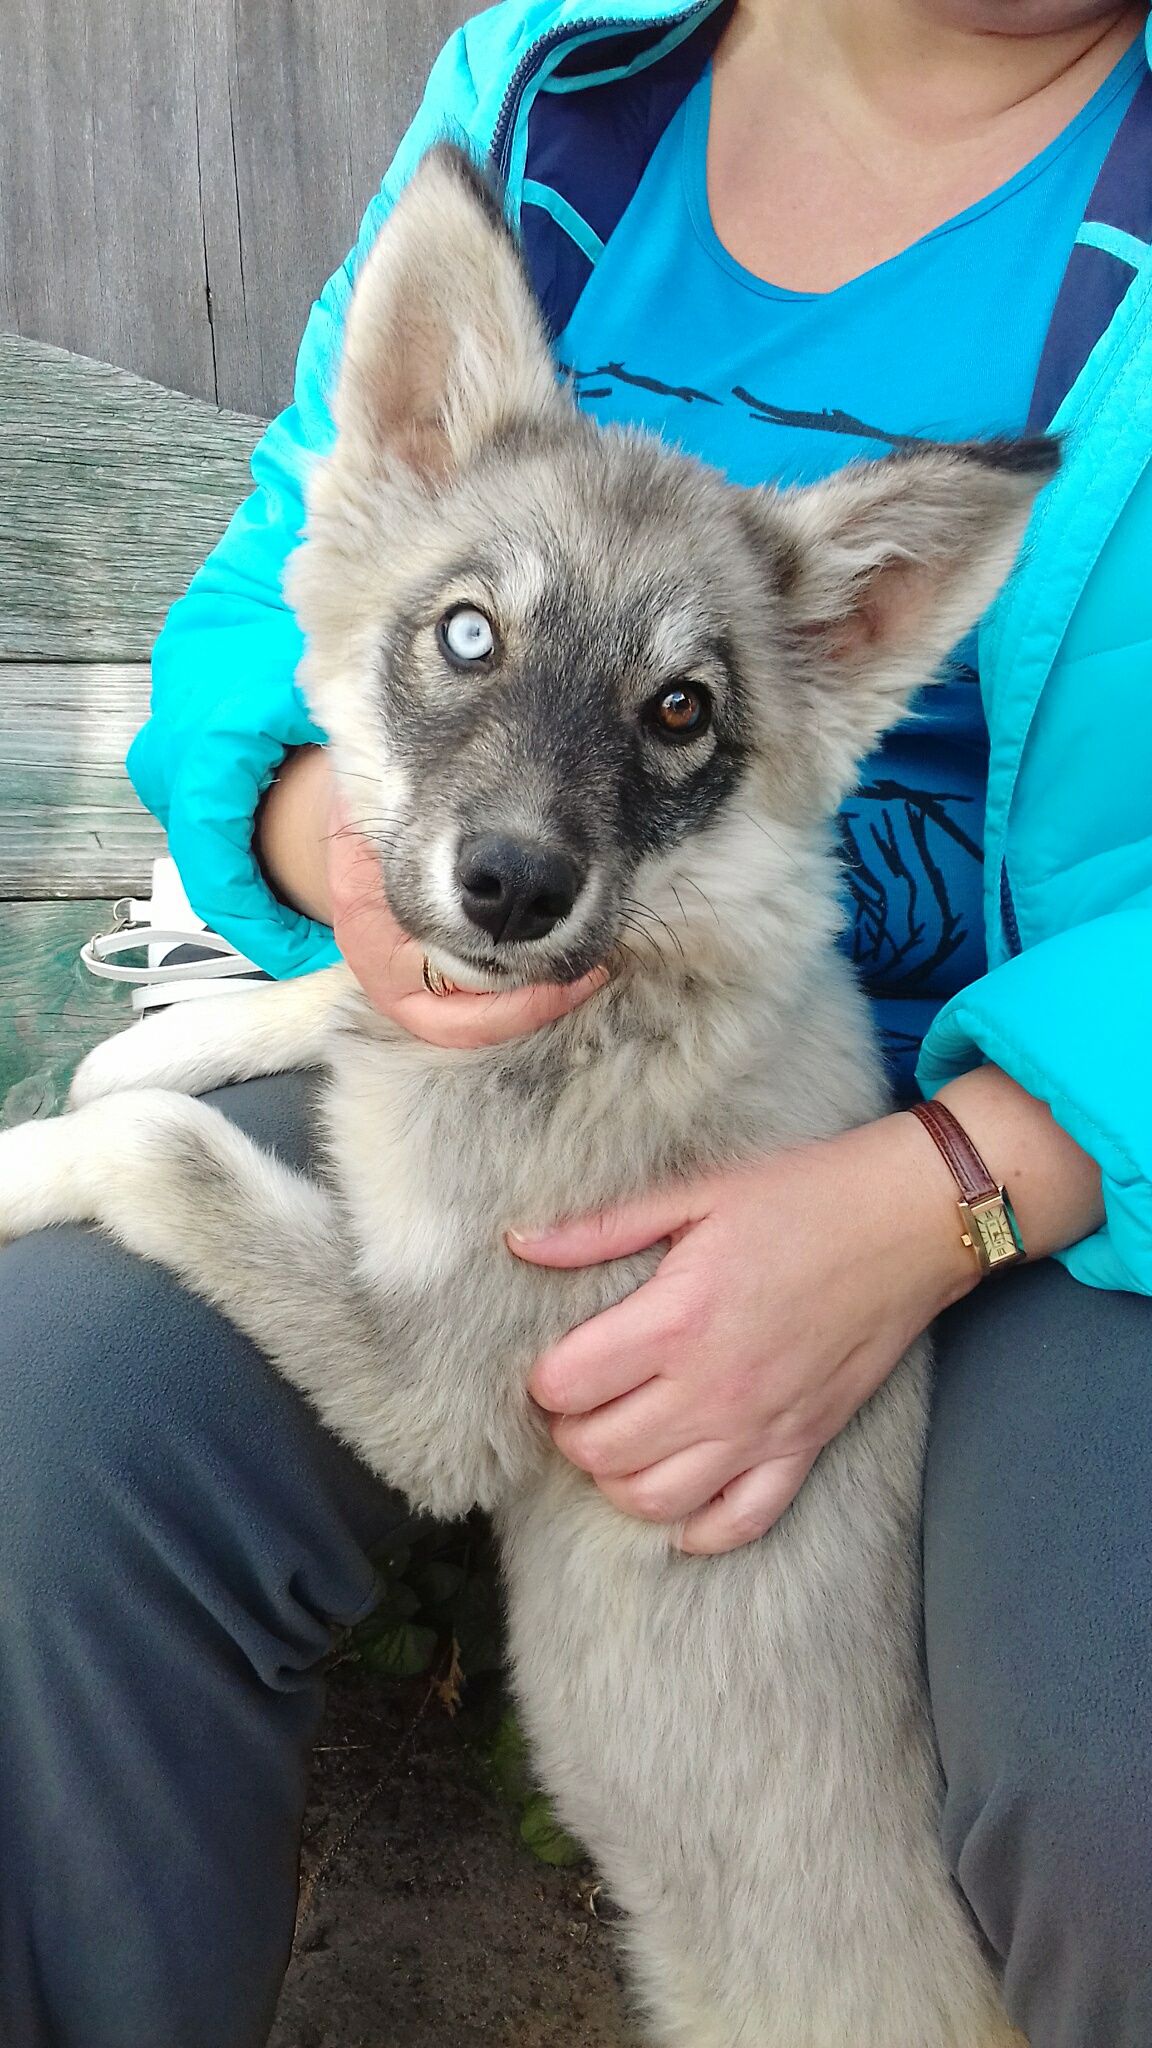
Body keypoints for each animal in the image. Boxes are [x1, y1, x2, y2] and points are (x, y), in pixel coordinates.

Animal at [0, 148, 1049, 2048]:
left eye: (682, 708)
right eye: (469, 633)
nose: (512, 887)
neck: (608, 1005)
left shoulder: (445, 1391)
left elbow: (169, 1156)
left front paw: (33, 1145)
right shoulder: (422, 989)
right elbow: (338, 992)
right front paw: (169, 1033)